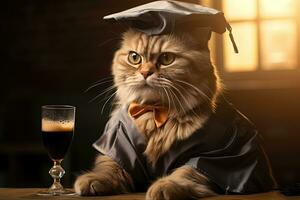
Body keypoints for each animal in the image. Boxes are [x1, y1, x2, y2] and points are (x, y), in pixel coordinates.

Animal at [74, 27, 276, 199]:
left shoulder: (218, 155)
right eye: (134, 58)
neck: (155, 112)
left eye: (166, 59)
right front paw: (92, 180)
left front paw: (164, 187)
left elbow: (187, 172)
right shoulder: (120, 144)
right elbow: (110, 167)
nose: (145, 72)